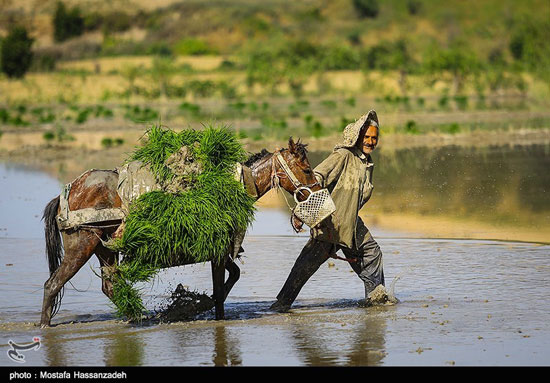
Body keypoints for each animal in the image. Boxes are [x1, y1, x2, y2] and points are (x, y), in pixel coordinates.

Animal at [41, 137, 322, 328]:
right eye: (307, 170)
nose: (318, 192)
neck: (235, 185)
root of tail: (68, 191)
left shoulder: (220, 251)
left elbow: (233, 276)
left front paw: (198, 305)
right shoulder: (218, 252)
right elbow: (221, 290)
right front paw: (210, 312)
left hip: (104, 248)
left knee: (110, 286)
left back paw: (138, 315)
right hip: (82, 245)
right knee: (53, 284)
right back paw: (45, 325)